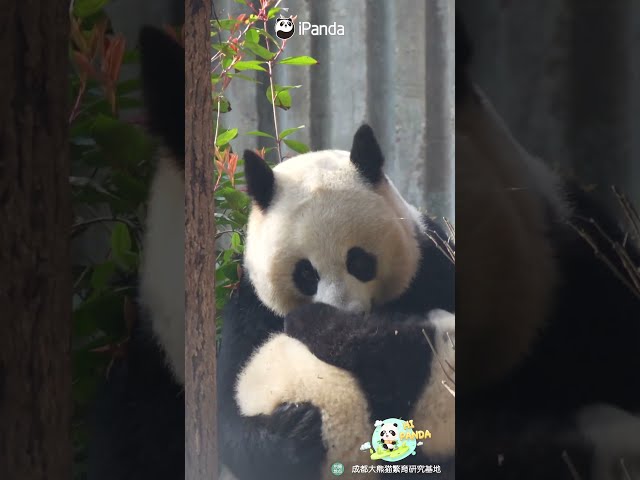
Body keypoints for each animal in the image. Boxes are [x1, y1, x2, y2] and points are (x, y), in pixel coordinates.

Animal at [217, 126, 456, 480]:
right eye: (305, 273)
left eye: (359, 261)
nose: (345, 312)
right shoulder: (248, 308)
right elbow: (225, 413)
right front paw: (294, 434)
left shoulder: (432, 264)